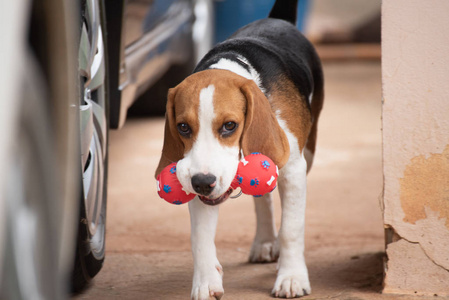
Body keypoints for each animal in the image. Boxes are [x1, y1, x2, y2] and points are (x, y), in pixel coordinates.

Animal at [155, 1, 322, 298]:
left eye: (230, 125)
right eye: (183, 127)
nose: (202, 183)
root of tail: (276, 19)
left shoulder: (293, 169)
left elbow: (291, 228)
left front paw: (291, 277)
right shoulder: (196, 175)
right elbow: (199, 238)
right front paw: (206, 282)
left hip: (307, 152)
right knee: (262, 199)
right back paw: (265, 241)